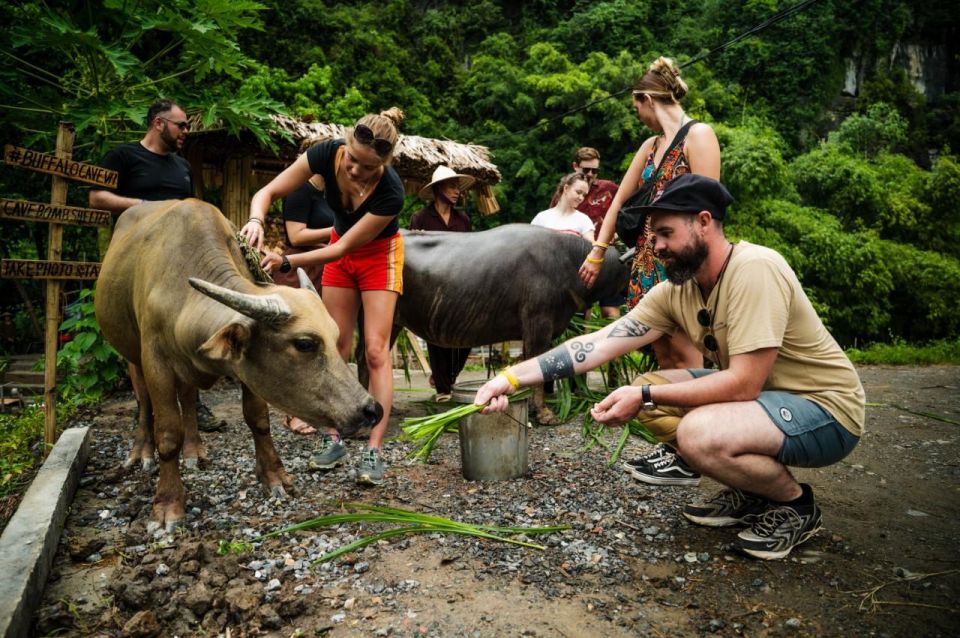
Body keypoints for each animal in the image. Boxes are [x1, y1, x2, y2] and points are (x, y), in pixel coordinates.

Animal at [95, 202, 380, 532]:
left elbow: (258, 420)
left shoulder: (247, 371)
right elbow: (167, 434)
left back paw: (194, 451)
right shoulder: (155, 361)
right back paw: (141, 452)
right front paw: (167, 505)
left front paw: (275, 477)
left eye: (335, 338)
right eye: (305, 343)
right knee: (143, 400)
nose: (371, 410)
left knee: (188, 398)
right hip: (131, 354)